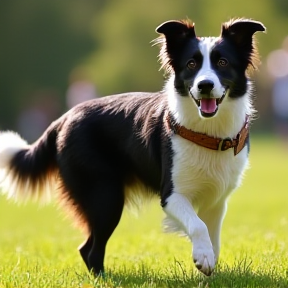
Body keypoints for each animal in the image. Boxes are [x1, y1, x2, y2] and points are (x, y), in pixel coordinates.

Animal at [0, 17, 266, 274]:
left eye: (222, 62)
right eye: (191, 64)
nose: (205, 85)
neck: (207, 133)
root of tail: (63, 118)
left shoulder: (216, 200)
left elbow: (214, 240)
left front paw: (207, 265)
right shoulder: (171, 195)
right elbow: (198, 226)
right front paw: (202, 258)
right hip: (104, 196)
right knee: (91, 249)